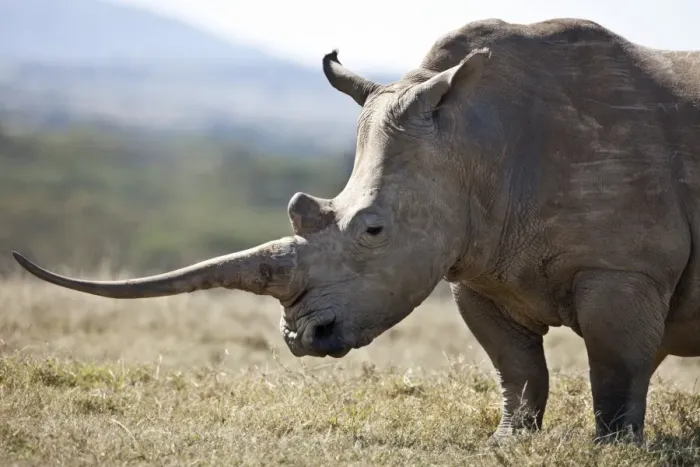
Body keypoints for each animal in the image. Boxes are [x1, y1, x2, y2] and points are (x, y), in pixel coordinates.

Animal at [12, 17, 700, 444]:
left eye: (373, 230)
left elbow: (615, 366)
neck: (476, 142)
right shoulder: (477, 263)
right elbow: (517, 366)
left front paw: (614, 447)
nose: (302, 338)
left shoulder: (625, 268)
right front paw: (508, 441)